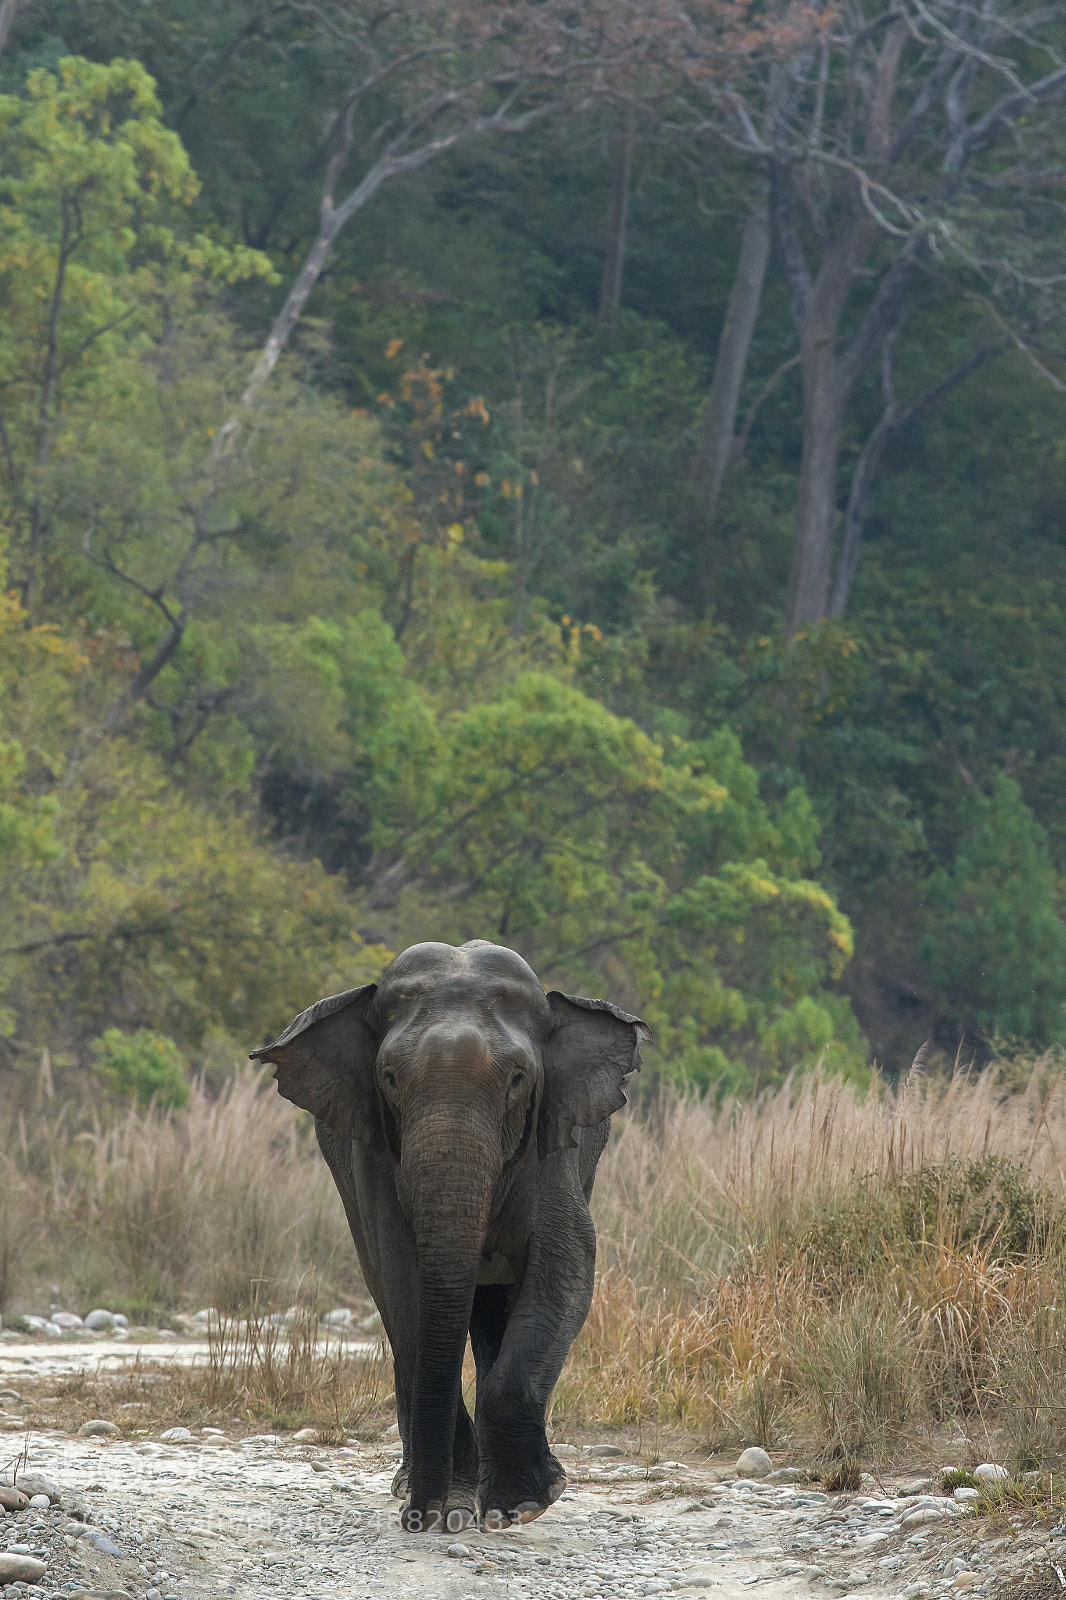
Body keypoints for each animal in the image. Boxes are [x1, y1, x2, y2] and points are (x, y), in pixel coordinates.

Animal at [249, 938, 649, 1533]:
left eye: (518, 1079)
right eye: (390, 1077)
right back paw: (410, 1483)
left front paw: (518, 1507)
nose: (420, 1518)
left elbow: (566, 1268)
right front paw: (455, 1508)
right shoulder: (372, 1154)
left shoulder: (552, 1147)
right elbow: (402, 1281)